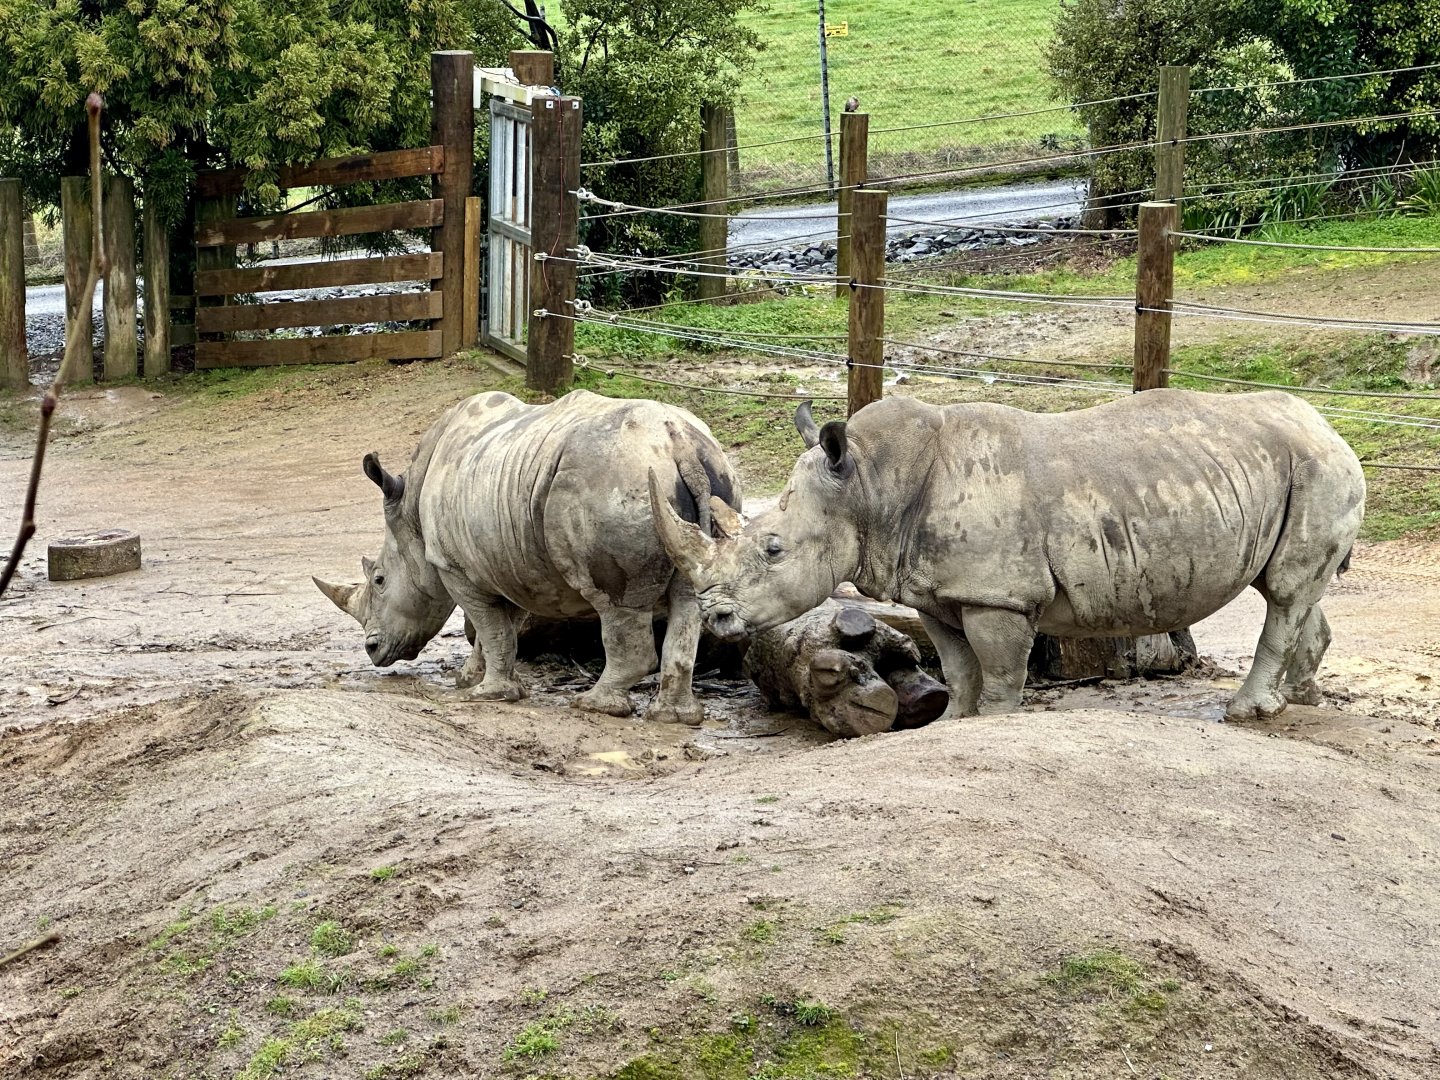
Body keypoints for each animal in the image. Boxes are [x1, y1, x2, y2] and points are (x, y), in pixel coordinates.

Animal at [315, 389, 741, 724]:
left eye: (379, 580)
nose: (372, 651)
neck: (410, 516)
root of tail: (678, 443)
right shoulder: (512, 560)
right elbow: (498, 627)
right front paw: (471, 678)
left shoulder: (454, 567)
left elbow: (490, 625)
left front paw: (488, 694)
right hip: (709, 471)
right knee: (689, 599)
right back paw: (675, 717)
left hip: (612, 480)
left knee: (616, 606)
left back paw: (592, 705)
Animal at [651, 390, 1365, 723]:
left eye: (772, 549)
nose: (714, 618)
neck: (869, 486)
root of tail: (1331, 427)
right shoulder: (937, 590)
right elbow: (957, 665)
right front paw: (952, 721)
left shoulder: (1000, 593)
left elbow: (997, 669)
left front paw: (995, 720)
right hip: (1295, 467)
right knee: (1298, 590)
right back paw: (1297, 700)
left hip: (1318, 468)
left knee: (1284, 592)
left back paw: (1247, 712)